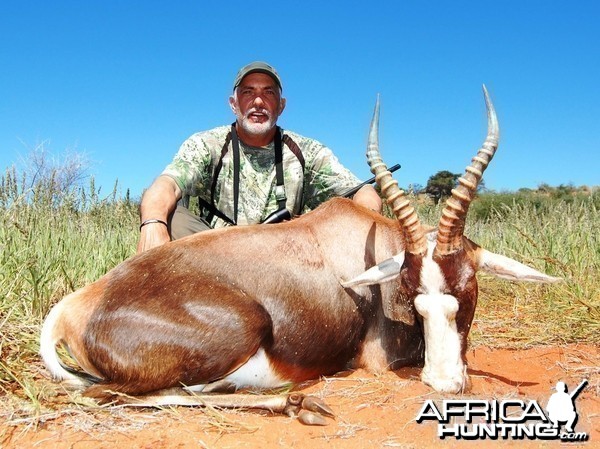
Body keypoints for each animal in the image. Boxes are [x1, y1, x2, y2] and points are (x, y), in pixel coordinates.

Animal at [39, 86, 560, 424]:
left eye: (466, 288)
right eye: (414, 295)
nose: (445, 383)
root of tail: (76, 306)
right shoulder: (378, 358)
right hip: (239, 329)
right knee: (113, 395)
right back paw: (297, 403)